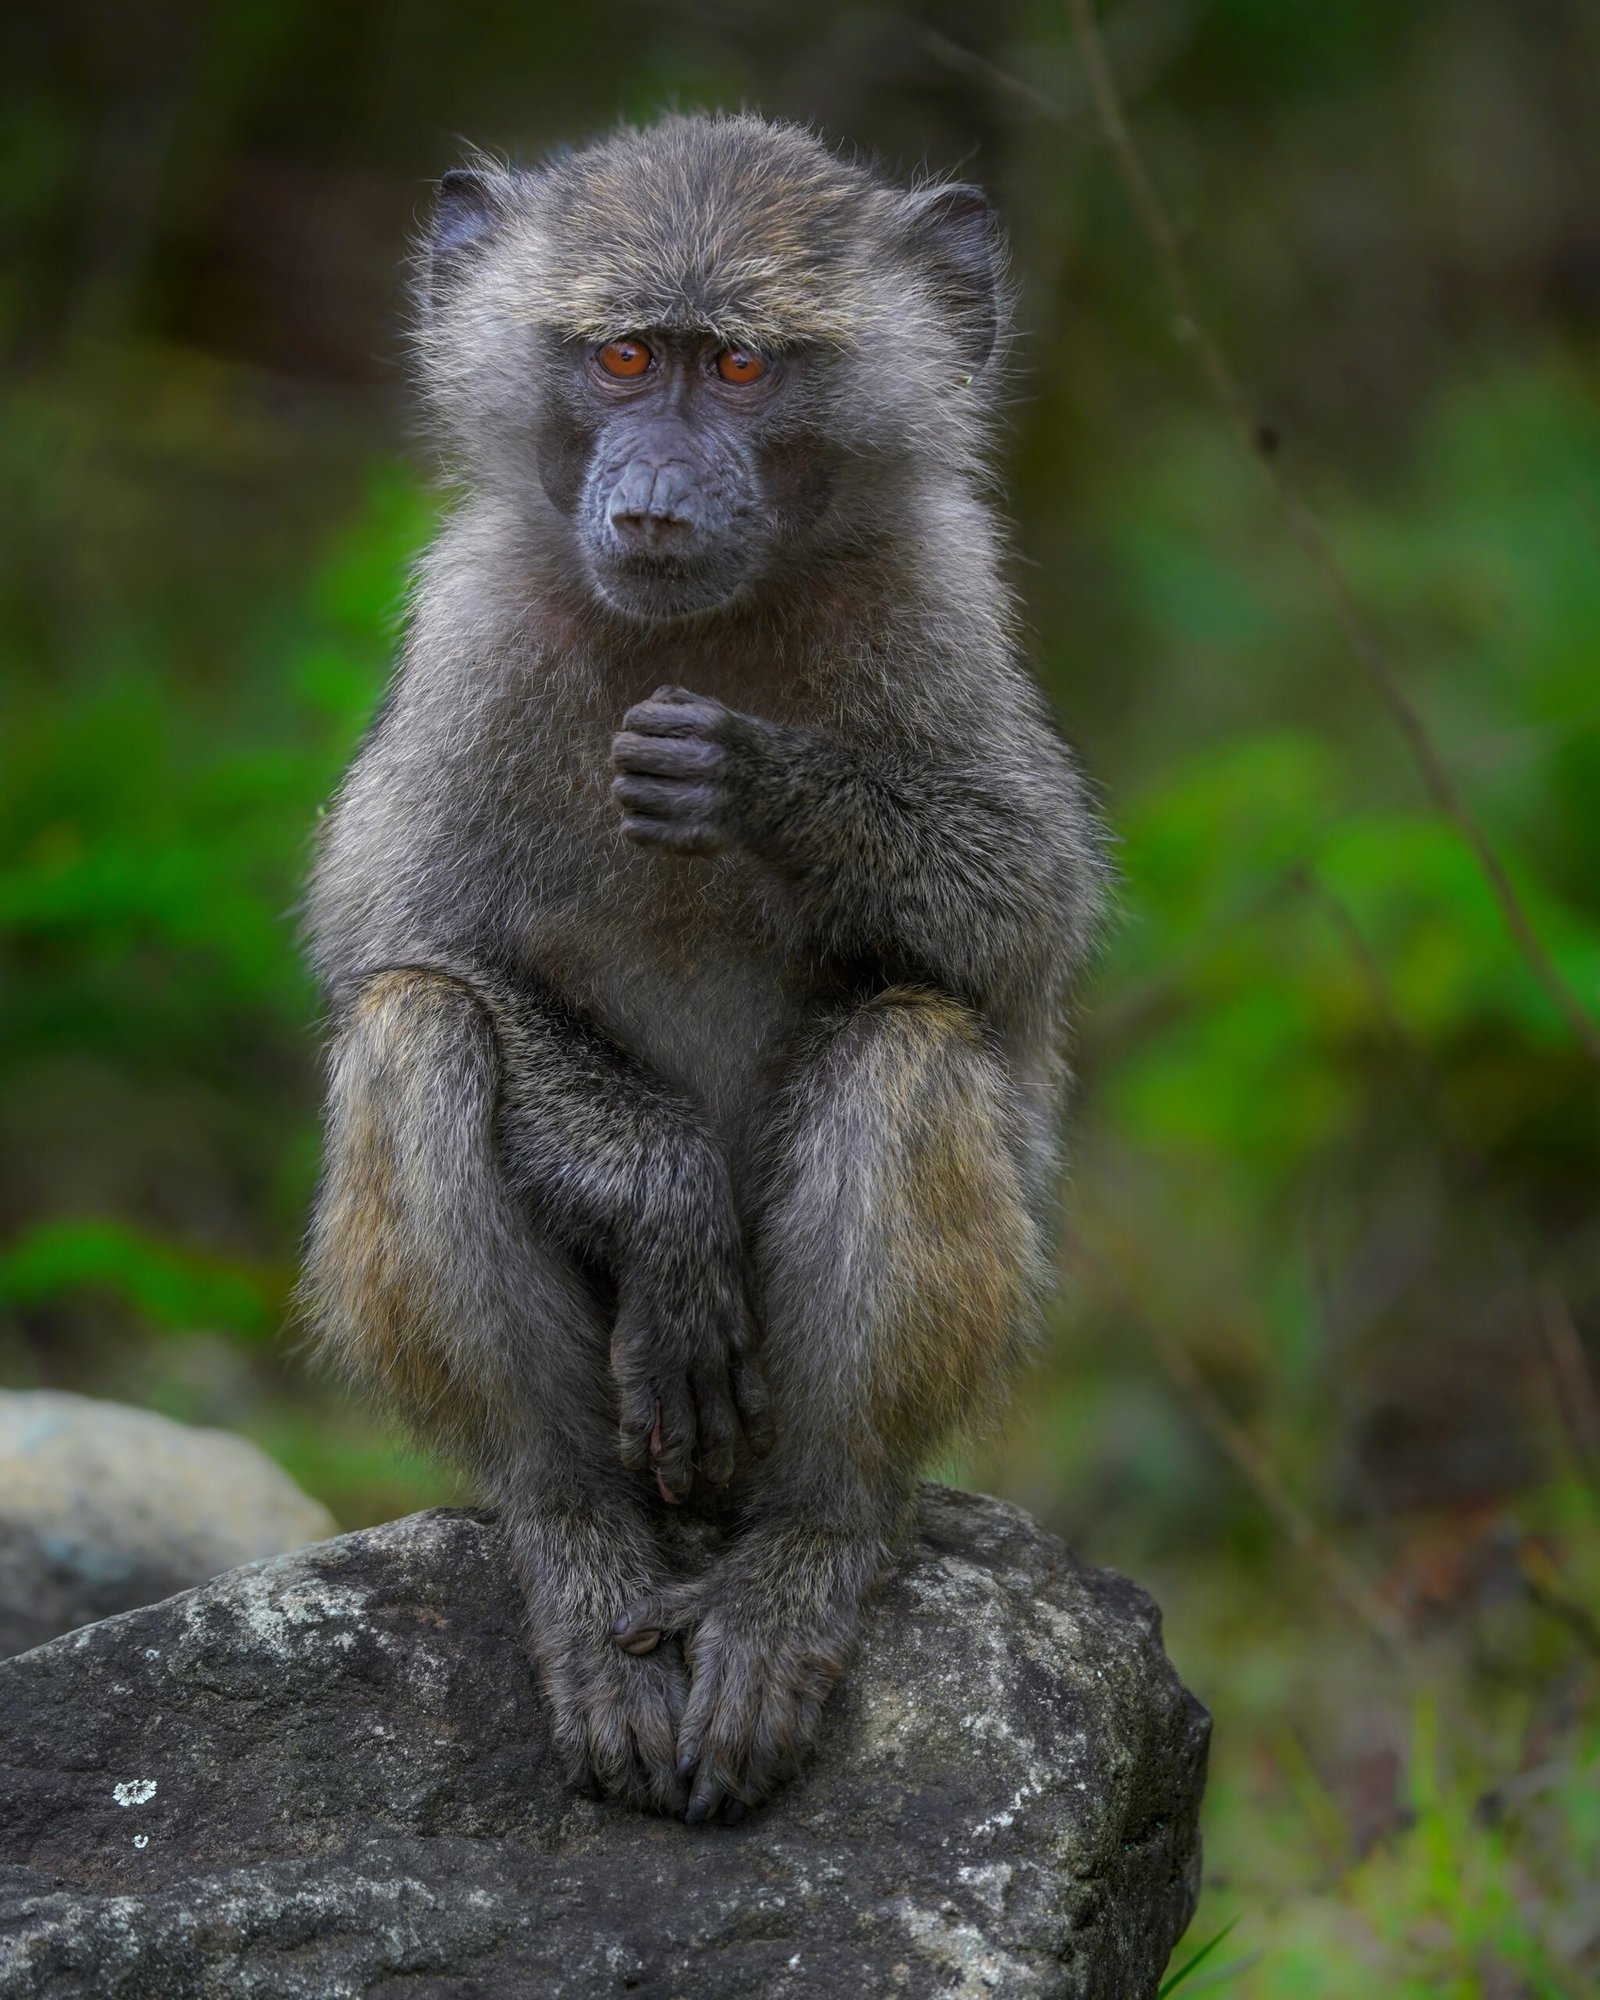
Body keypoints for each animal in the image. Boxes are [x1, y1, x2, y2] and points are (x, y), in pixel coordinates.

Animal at [301, 113, 1105, 1826]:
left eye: (737, 369)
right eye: (621, 358)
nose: (657, 506)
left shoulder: (940, 608)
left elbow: (1019, 921)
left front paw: (757, 783)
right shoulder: (473, 637)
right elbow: (397, 945)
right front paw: (664, 1201)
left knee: (905, 1043)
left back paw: (802, 1556)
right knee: (418, 1032)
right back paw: (577, 1548)